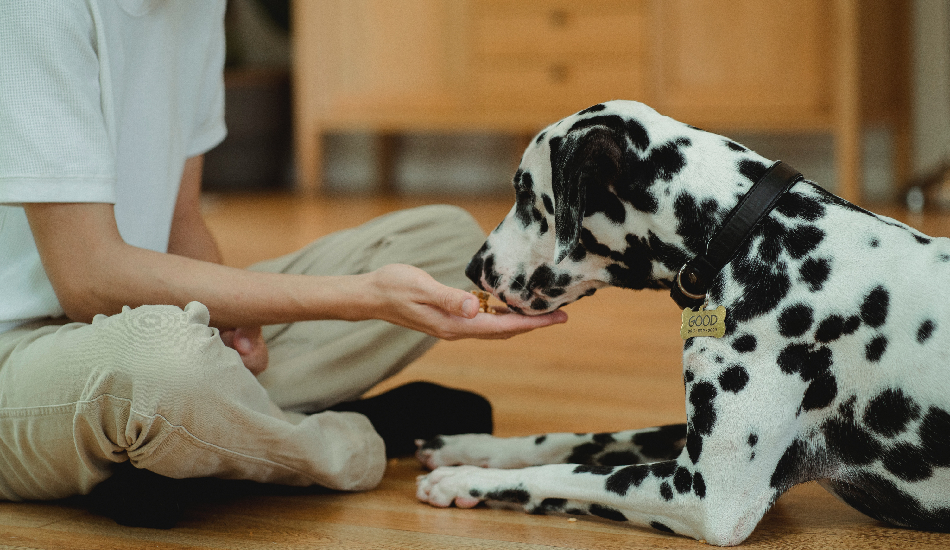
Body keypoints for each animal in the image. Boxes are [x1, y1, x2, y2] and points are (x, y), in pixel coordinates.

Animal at [416, 100, 950, 548]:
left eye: (526, 194)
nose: (474, 268)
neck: (751, 237)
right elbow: (576, 439)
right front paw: (469, 447)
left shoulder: (703, 493)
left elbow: (567, 472)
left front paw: (465, 478)